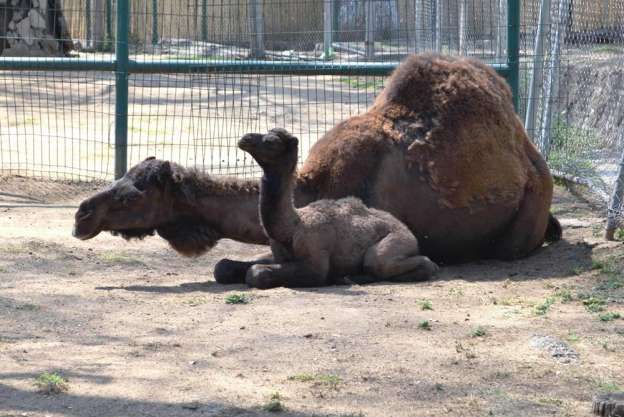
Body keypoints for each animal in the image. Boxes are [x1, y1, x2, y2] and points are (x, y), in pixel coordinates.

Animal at [239, 127, 438, 290]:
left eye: (271, 142)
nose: (244, 138)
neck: (292, 227)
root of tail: (407, 230)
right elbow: (253, 268)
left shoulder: (315, 259)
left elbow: (256, 272)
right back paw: (348, 278)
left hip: (399, 240)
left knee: (380, 261)